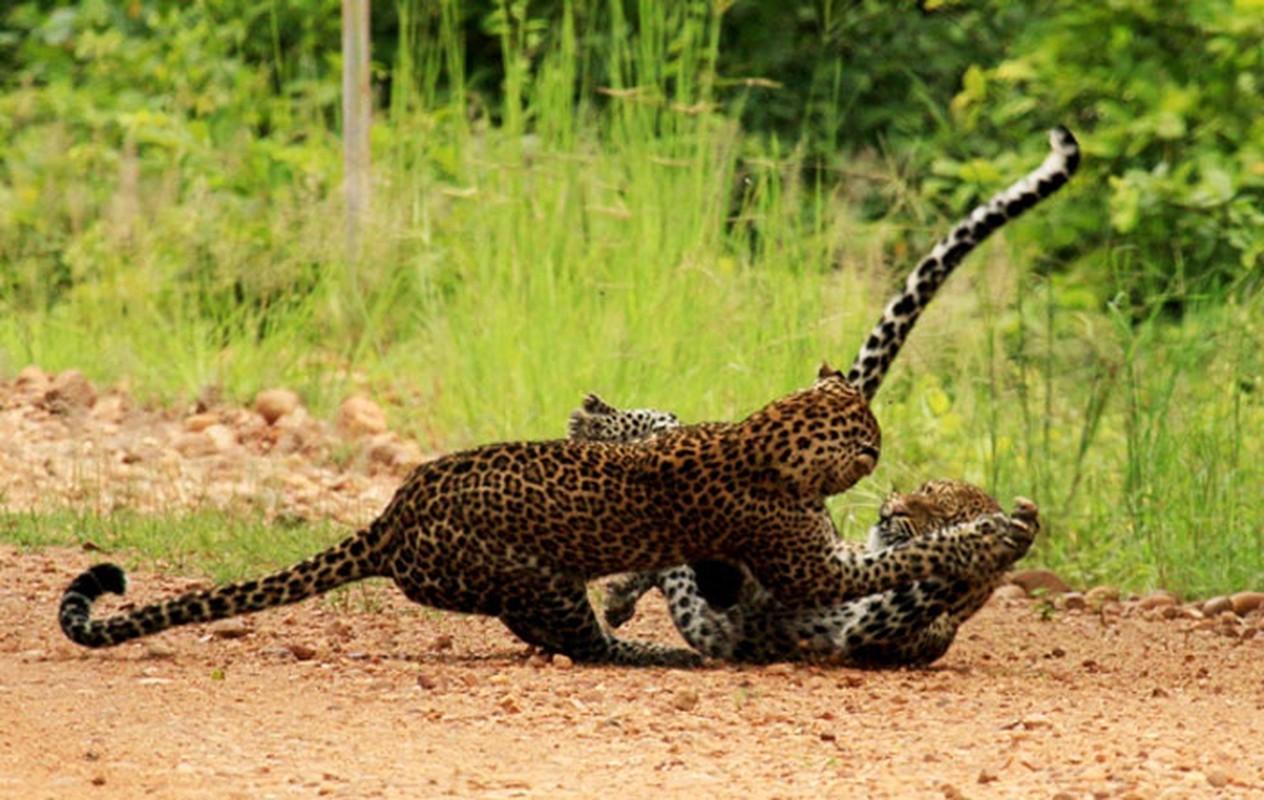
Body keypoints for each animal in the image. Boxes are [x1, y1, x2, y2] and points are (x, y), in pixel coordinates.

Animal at [54, 129, 1071, 667]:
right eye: (882, 455)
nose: (888, 483)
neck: (762, 435)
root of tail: (389, 519)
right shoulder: (812, 566)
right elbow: (914, 556)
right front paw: (991, 531)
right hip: (526, 579)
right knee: (580, 639)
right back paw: (650, 647)